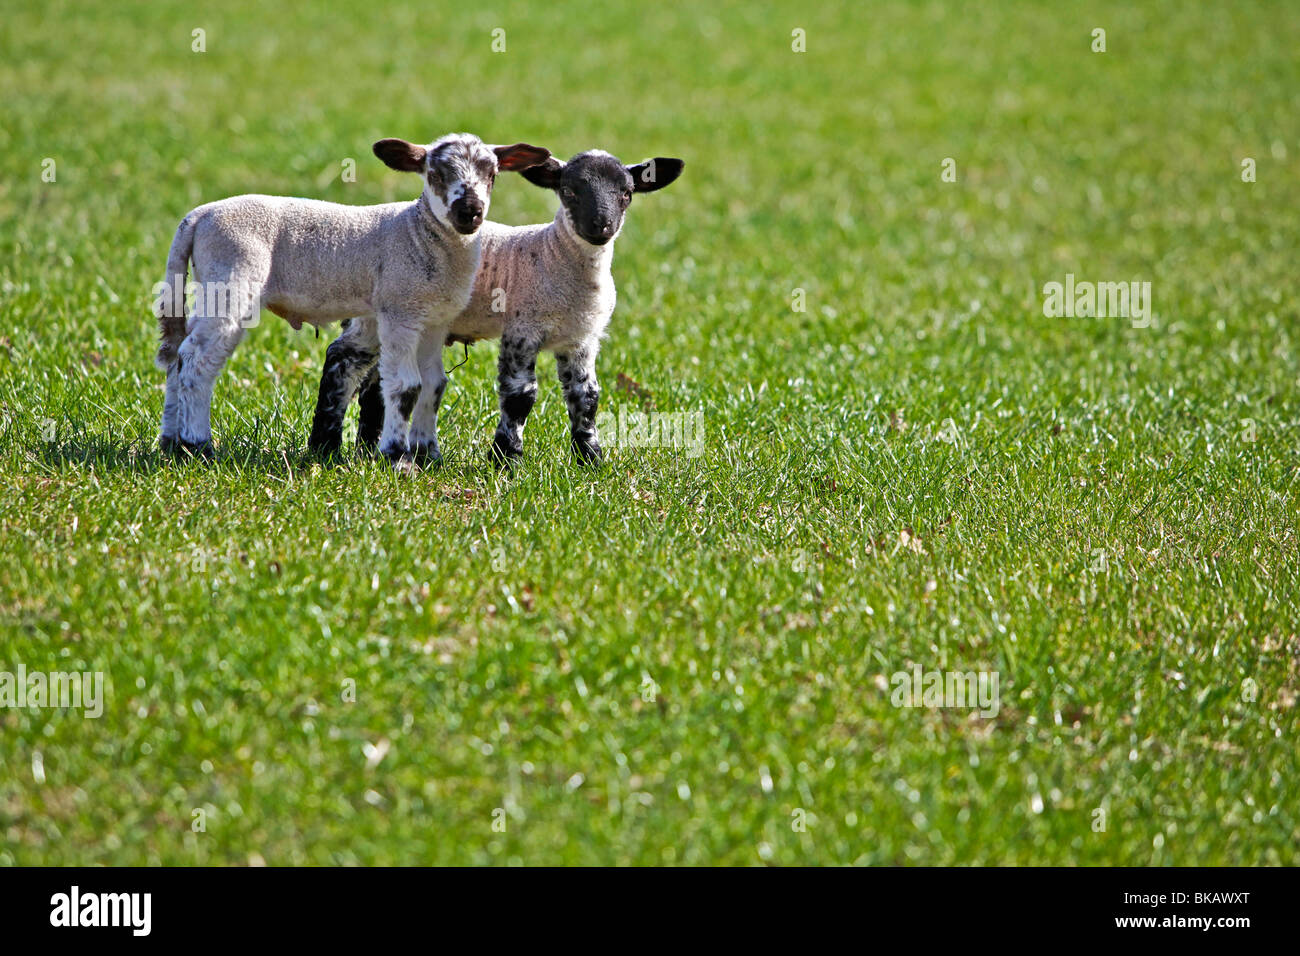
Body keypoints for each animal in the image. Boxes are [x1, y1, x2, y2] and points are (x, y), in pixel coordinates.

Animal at [152, 133, 551, 466]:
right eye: (435, 173)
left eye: (492, 174)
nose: (469, 211)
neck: (419, 233)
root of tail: (199, 216)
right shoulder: (399, 311)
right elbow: (406, 386)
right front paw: (397, 457)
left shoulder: (435, 321)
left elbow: (434, 385)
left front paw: (429, 455)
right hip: (231, 282)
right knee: (198, 359)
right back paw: (198, 445)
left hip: (209, 288)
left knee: (177, 355)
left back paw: (171, 440)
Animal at [307, 149, 685, 466]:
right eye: (569, 191)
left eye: (626, 194)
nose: (601, 227)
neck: (556, 257)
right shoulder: (522, 329)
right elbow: (520, 394)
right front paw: (507, 459)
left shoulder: (581, 339)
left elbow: (586, 397)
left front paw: (590, 459)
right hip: (378, 315)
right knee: (342, 360)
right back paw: (325, 447)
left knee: (374, 380)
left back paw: (367, 447)